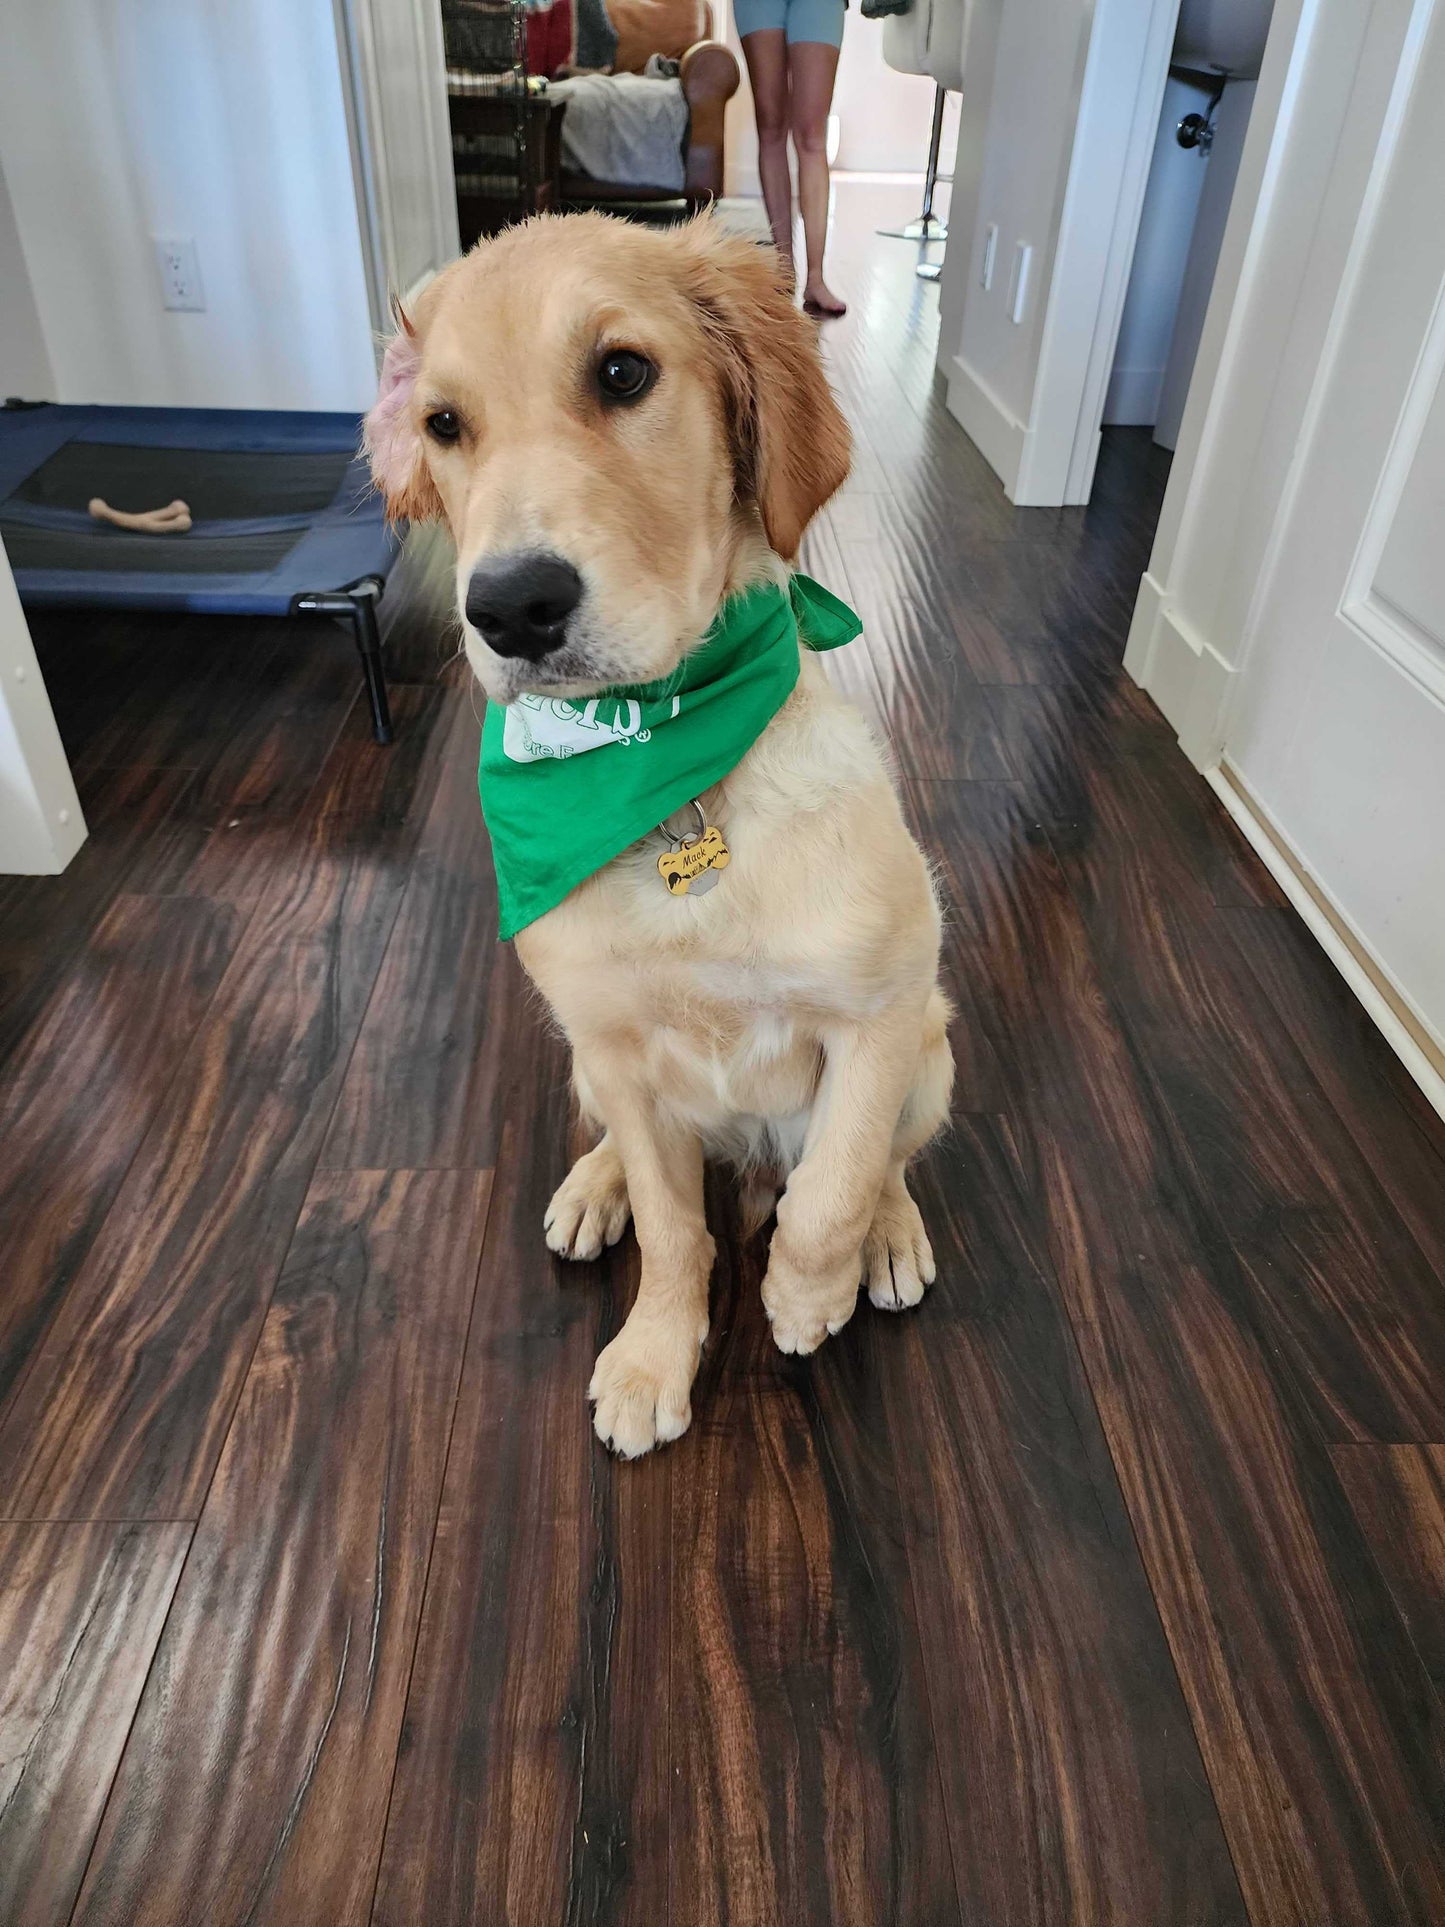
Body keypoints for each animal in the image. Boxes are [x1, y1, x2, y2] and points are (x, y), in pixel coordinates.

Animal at [364, 211, 951, 1449]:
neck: (661, 780)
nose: (511, 608)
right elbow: (677, 1232)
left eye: (623, 373)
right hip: (583, 1061)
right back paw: (593, 1191)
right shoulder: (623, 1055)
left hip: (933, 1047)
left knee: (885, 1157)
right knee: (629, 1156)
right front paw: (651, 1357)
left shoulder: (875, 1018)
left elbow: (829, 1191)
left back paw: (889, 1232)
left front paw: (807, 1294)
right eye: (443, 425)